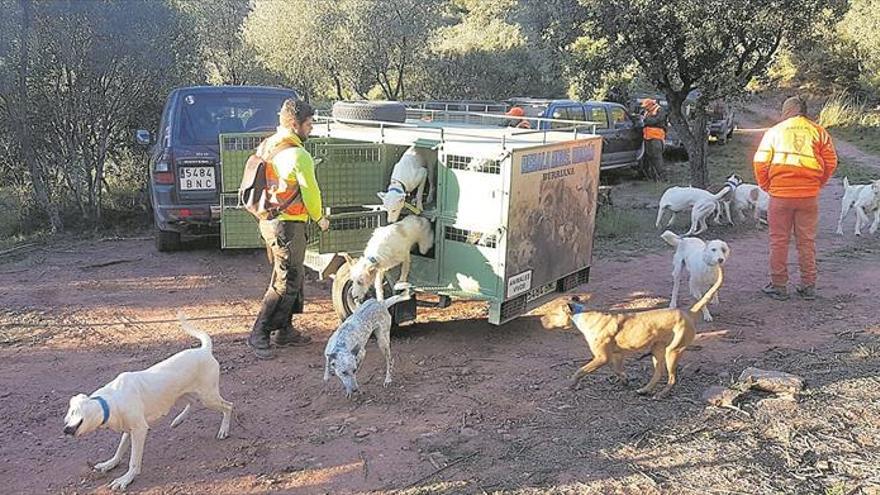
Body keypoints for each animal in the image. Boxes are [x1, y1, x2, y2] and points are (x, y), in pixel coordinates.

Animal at [62, 314, 234, 492]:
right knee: (193, 403)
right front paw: (110, 464)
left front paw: (126, 479)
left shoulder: (139, 430)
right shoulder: (129, 429)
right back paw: (178, 420)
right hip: (183, 394)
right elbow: (119, 450)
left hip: (208, 397)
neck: (110, 402)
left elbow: (133, 461)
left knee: (228, 406)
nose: (65, 430)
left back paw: (223, 430)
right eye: (67, 416)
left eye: (74, 412)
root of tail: (204, 350)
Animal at [548, 268, 724, 400]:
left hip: (672, 352)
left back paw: (661, 394)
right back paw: (645, 390)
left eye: (552, 312)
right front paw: (625, 380)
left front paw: (572, 383)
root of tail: (689, 312)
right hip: (657, 351)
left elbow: (580, 370)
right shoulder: (617, 356)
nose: (544, 321)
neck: (583, 314)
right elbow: (618, 370)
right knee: (659, 373)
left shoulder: (602, 357)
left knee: (672, 378)